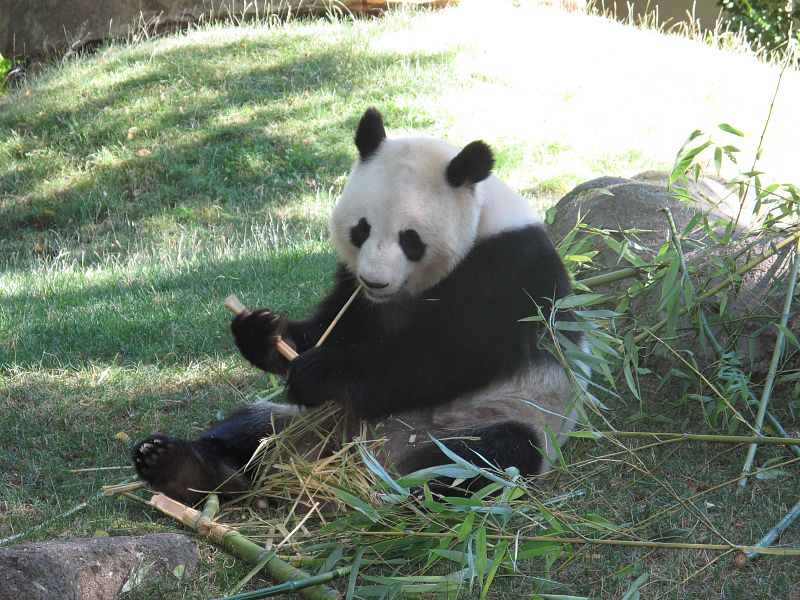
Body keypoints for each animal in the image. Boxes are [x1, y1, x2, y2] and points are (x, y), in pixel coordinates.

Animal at [132, 108, 582, 504]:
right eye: (361, 229)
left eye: (410, 239)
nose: (375, 280)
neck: (481, 217)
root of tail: (372, 455)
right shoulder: (358, 290)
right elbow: (337, 326)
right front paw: (262, 333)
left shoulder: (508, 271)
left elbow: (445, 356)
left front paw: (319, 372)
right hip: (305, 421)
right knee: (251, 427)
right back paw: (182, 468)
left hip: (503, 416)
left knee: (482, 459)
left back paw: (397, 499)